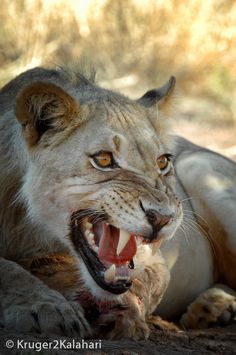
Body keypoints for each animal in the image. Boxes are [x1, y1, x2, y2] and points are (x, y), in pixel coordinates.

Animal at [0, 67, 235, 340]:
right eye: (103, 159)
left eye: (163, 161)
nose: (163, 218)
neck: (28, 227)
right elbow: (9, 270)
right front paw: (45, 306)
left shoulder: (155, 262)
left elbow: (143, 281)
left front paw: (122, 312)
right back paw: (211, 308)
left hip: (198, 166)